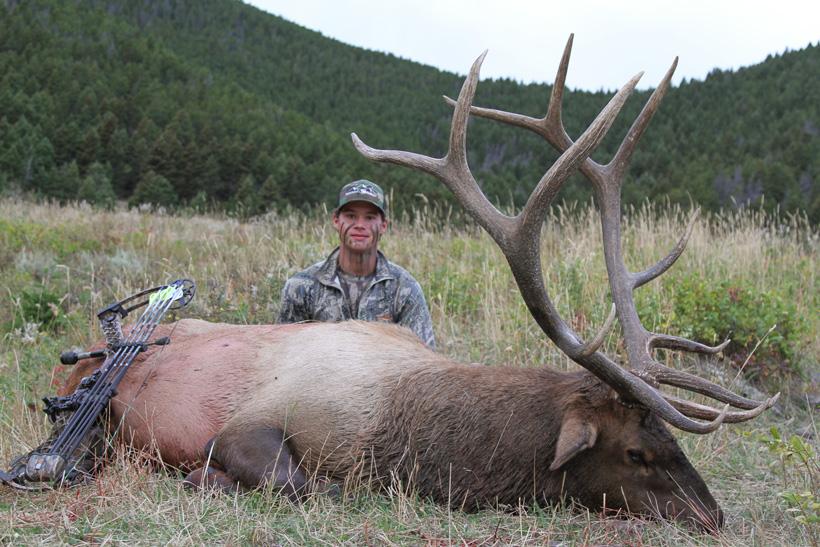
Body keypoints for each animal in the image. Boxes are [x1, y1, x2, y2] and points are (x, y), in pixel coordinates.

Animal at [45, 36, 777, 531]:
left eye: (672, 441)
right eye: (636, 452)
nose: (714, 515)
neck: (401, 432)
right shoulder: (245, 426)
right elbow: (308, 485)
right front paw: (204, 481)